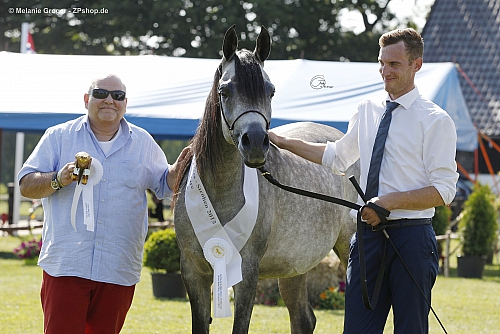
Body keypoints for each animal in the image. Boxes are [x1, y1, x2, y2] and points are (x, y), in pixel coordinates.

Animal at [173, 24, 360, 332]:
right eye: (225, 90)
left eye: (270, 91)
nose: (256, 143)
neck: (219, 193)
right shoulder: (192, 272)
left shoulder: (246, 272)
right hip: (296, 265)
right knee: (303, 319)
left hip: (348, 248)